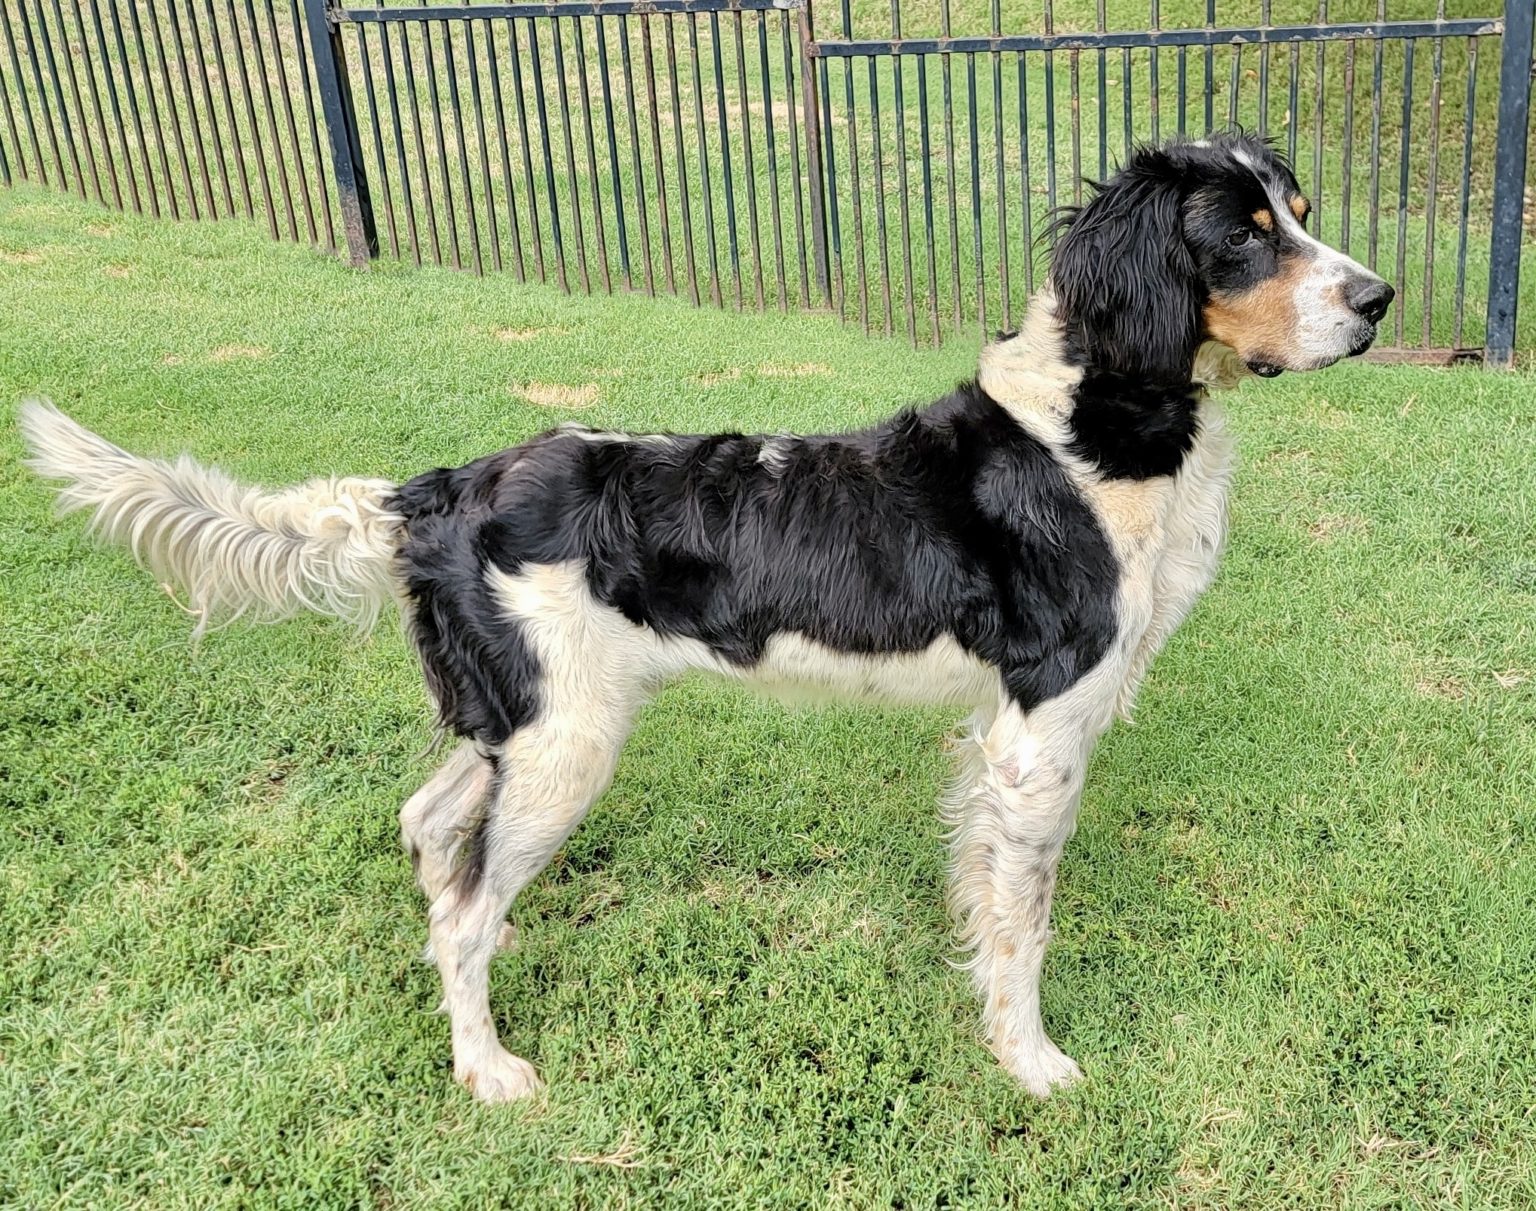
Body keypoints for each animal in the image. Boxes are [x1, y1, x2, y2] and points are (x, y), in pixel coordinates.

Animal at [21, 134, 1394, 1106]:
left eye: (1301, 208)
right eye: (1243, 236)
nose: (1379, 299)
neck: (1096, 425)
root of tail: (438, 488)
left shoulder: (996, 742)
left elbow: (983, 894)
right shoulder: (1040, 732)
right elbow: (1027, 923)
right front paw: (1032, 1063)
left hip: (515, 724)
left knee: (430, 833)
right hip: (565, 744)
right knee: (463, 906)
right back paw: (487, 1066)